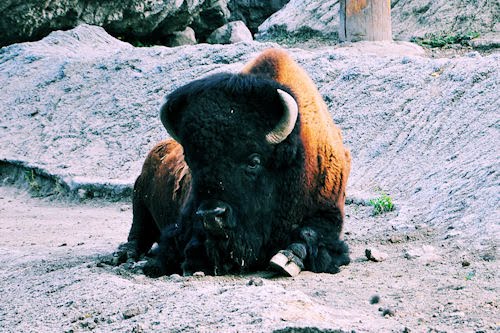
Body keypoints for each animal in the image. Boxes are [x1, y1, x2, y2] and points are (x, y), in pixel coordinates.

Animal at [113, 48, 352, 276]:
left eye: (254, 161)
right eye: (190, 160)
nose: (212, 214)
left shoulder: (328, 212)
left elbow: (309, 234)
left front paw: (286, 260)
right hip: (139, 201)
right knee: (138, 233)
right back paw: (123, 254)